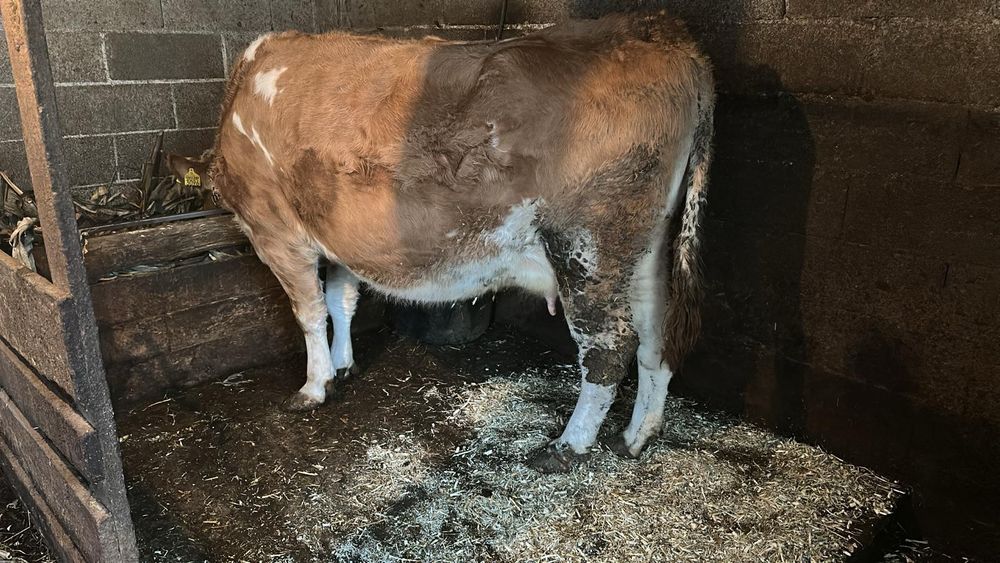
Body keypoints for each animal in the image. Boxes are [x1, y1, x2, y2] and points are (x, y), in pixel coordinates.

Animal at [166, 11, 715, 473]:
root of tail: (662, 32)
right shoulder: (337, 233)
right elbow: (342, 300)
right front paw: (343, 366)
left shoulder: (277, 231)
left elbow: (310, 312)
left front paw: (314, 386)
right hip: (646, 246)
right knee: (656, 335)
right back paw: (636, 437)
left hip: (588, 245)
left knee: (609, 346)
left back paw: (566, 447)